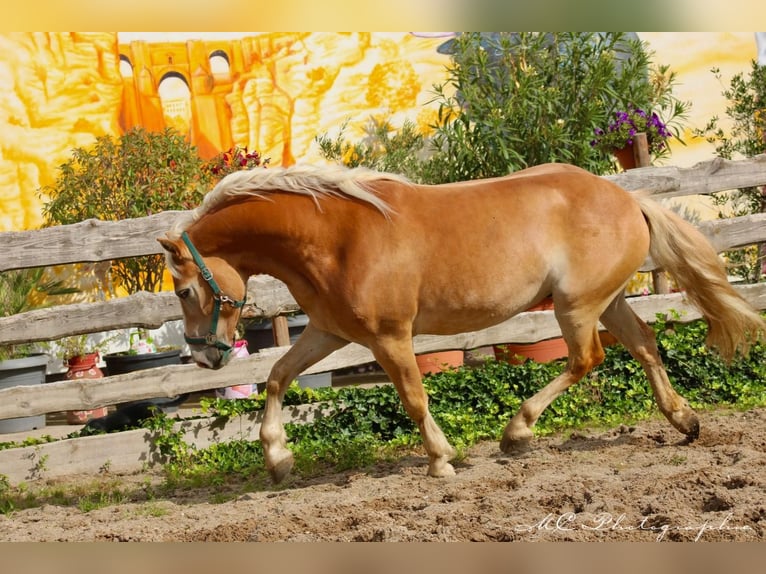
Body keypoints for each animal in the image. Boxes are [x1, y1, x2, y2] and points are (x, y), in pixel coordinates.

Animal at [159, 163, 764, 486]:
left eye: (184, 290)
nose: (204, 356)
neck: (335, 238)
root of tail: (626, 197)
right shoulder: (329, 332)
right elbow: (279, 376)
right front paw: (279, 460)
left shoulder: (389, 336)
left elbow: (414, 397)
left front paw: (441, 460)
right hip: (607, 300)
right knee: (644, 345)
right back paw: (685, 421)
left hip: (575, 307)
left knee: (587, 359)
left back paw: (517, 433)